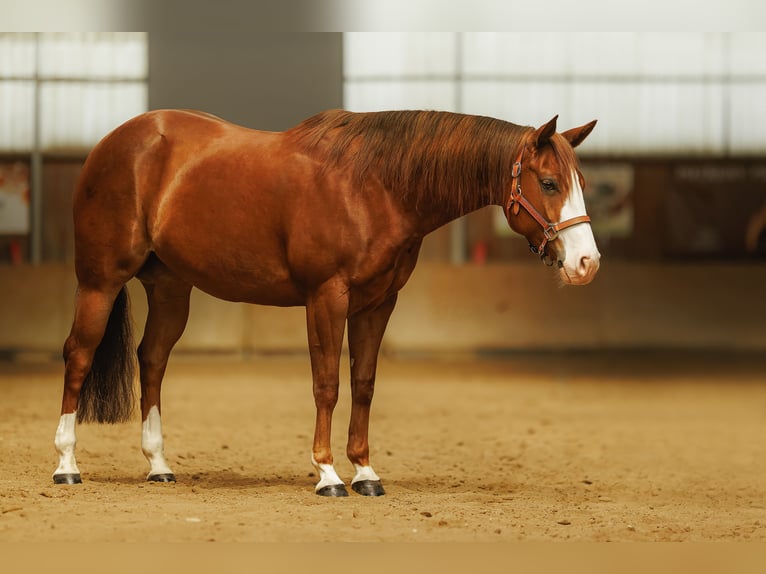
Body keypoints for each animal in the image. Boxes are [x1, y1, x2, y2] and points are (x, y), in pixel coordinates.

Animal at [53, 108, 600, 496]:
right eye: (548, 182)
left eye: (581, 184)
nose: (587, 263)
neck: (373, 185)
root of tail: (115, 142)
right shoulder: (326, 297)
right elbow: (327, 385)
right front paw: (328, 474)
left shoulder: (377, 304)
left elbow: (363, 384)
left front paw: (365, 472)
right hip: (100, 281)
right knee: (78, 356)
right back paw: (67, 465)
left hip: (170, 289)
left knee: (152, 360)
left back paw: (159, 466)